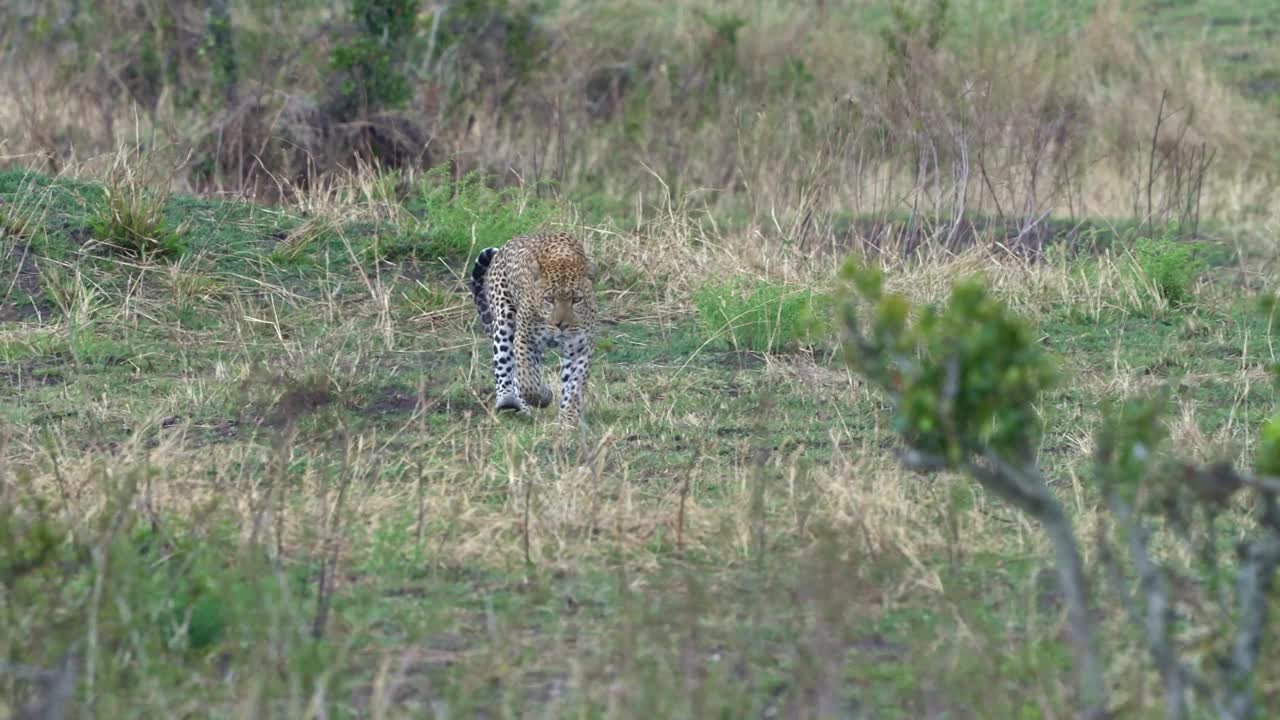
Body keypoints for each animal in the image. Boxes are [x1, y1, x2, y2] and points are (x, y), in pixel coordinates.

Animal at [468, 229, 596, 422]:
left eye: (577, 300)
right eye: (549, 299)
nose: (561, 325)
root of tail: (505, 246)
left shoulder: (580, 348)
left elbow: (574, 386)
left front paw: (569, 419)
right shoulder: (526, 339)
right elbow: (529, 382)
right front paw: (544, 396)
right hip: (505, 318)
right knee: (505, 363)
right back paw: (508, 400)